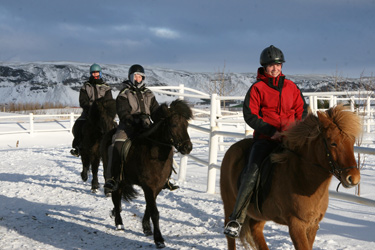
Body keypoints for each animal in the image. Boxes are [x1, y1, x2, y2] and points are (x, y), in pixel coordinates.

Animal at [100, 99, 192, 248]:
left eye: (186, 125)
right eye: (174, 124)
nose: (188, 147)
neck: (153, 153)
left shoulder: (157, 186)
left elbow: (149, 207)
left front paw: (147, 227)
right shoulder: (148, 186)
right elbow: (154, 212)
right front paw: (159, 239)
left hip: (124, 180)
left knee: (118, 199)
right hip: (115, 178)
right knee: (116, 196)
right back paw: (119, 223)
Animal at [222, 105, 362, 250]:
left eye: (352, 142)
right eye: (333, 143)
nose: (353, 178)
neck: (302, 178)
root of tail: (231, 150)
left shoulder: (312, 225)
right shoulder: (296, 225)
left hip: (259, 214)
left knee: (256, 230)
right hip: (229, 203)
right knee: (230, 236)